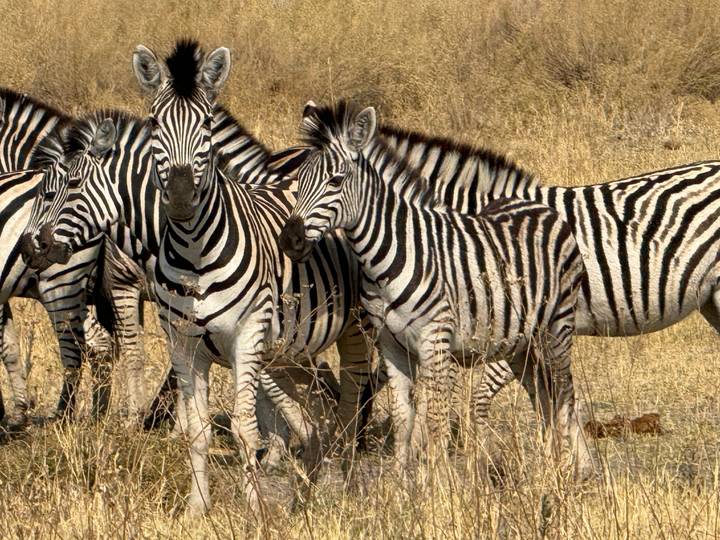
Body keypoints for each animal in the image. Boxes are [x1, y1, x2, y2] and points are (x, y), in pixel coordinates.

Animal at [277, 101, 594, 484]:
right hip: (519, 341)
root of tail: (543, 208)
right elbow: (404, 419)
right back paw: (550, 470)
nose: (289, 240)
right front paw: (401, 488)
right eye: (298, 182)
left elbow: (436, 420)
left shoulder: (436, 341)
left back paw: (568, 474)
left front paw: (441, 487)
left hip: (557, 328)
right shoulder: (391, 344)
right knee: (543, 393)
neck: (391, 252)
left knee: (564, 393)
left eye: (335, 181)